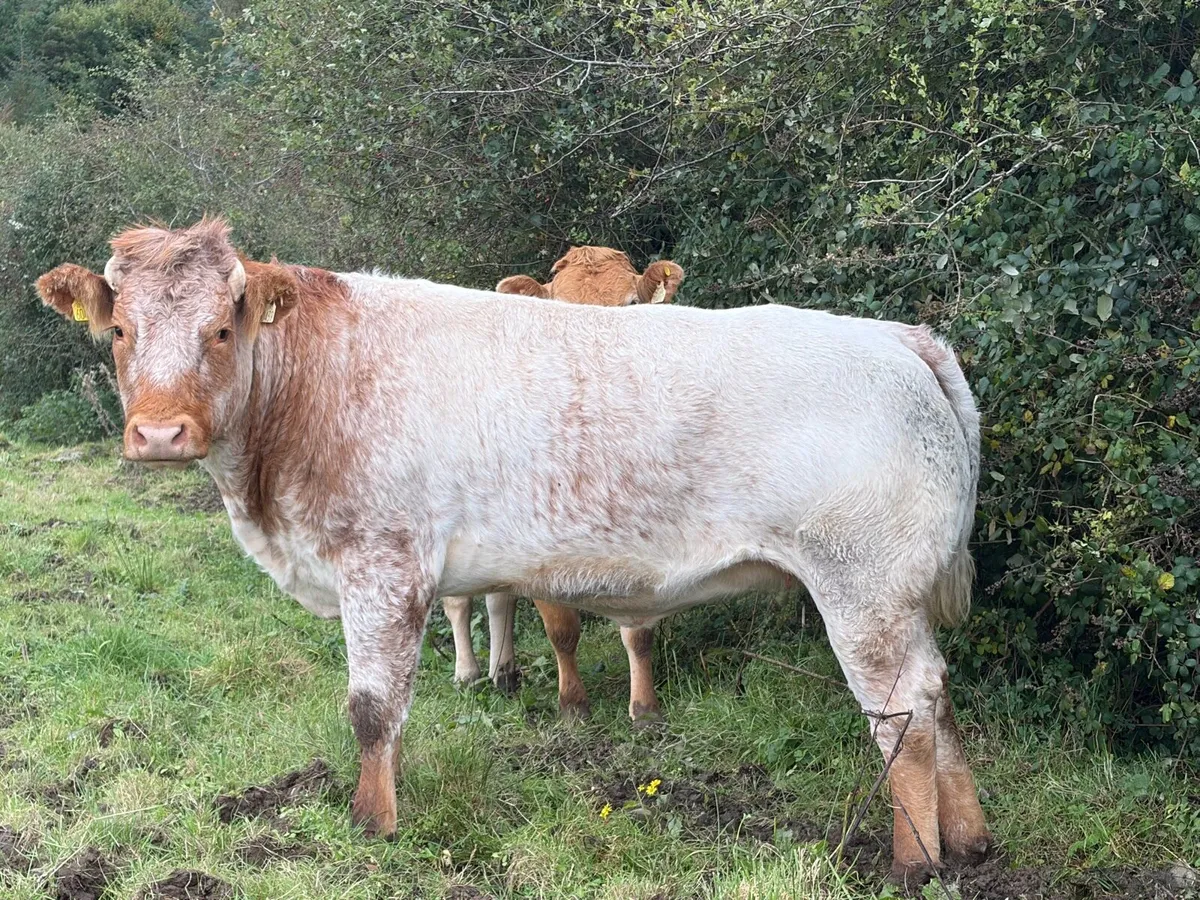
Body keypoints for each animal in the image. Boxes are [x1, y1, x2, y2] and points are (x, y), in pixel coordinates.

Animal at [443, 245, 685, 725]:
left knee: (498, 598)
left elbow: (639, 631)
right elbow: (562, 629)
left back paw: (504, 672)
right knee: (458, 600)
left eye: (632, 305)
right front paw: (573, 704)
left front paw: (645, 709)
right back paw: (467, 673)